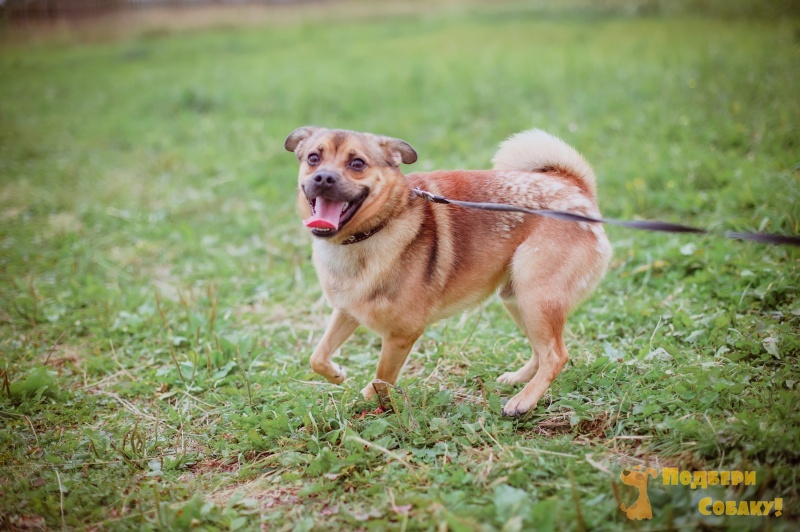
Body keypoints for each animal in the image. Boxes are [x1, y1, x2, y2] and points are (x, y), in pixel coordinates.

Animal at [284, 128, 608, 416]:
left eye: (357, 164)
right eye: (313, 158)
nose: (323, 177)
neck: (373, 230)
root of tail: (575, 189)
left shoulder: (401, 336)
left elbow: (381, 379)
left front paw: (366, 403)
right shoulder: (347, 311)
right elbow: (317, 356)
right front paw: (337, 374)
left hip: (535, 295)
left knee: (556, 354)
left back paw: (523, 401)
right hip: (518, 298)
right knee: (542, 351)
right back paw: (518, 380)